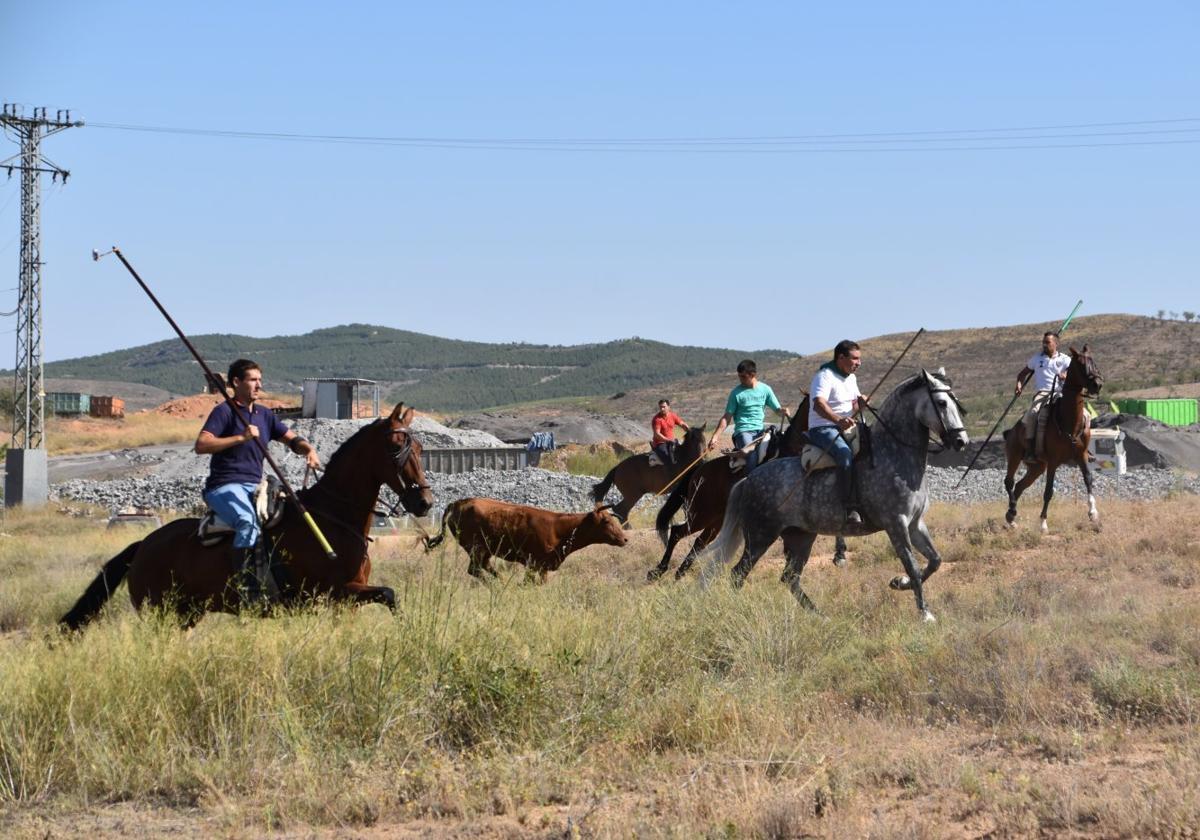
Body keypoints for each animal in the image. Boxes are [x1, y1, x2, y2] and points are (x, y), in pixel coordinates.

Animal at [59, 400, 436, 628]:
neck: (334, 519)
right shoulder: (335, 591)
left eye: (418, 447)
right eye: (395, 446)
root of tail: (143, 546)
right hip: (159, 615)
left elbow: (386, 597)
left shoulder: (348, 597)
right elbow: (389, 594)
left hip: (186, 614)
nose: (425, 502)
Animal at [422, 494, 628, 580]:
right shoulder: (535, 563)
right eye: (606, 521)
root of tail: (458, 503)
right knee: (475, 570)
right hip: (476, 548)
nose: (625, 539)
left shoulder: (542, 566)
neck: (560, 529)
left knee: (483, 568)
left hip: (485, 550)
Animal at [648, 396, 854, 580]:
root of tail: (700, 468)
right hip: (701, 513)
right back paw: (658, 571)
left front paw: (840, 554)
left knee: (699, 542)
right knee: (677, 532)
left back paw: (679, 572)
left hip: (715, 519)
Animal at [700, 374, 969, 624]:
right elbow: (912, 565)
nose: (961, 441)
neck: (894, 455)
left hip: (801, 538)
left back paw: (820, 615)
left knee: (789, 578)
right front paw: (925, 614)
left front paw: (899, 583)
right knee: (738, 574)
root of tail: (748, 480)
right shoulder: (896, 524)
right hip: (760, 537)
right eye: (942, 402)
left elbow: (935, 560)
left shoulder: (915, 524)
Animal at [1003, 345, 1104, 530]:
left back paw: (1011, 518)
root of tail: (1011, 430)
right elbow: (1049, 490)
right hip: (1014, 456)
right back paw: (1012, 512)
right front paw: (1043, 523)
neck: (1068, 420)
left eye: (1093, 361)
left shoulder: (1081, 455)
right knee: (1009, 482)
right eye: (1080, 364)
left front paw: (1093, 513)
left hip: (1037, 467)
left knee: (1020, 486)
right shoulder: (1053, 461)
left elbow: (1088, 479)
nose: (1097, 384)